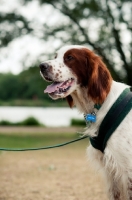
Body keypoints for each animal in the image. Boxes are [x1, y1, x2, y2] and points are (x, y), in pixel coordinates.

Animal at [39, 45, 132, 200]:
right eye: (55, 56)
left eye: (70, 57)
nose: (41, 66)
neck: (100, 103)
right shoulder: (111, 171)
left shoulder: (127, 169)